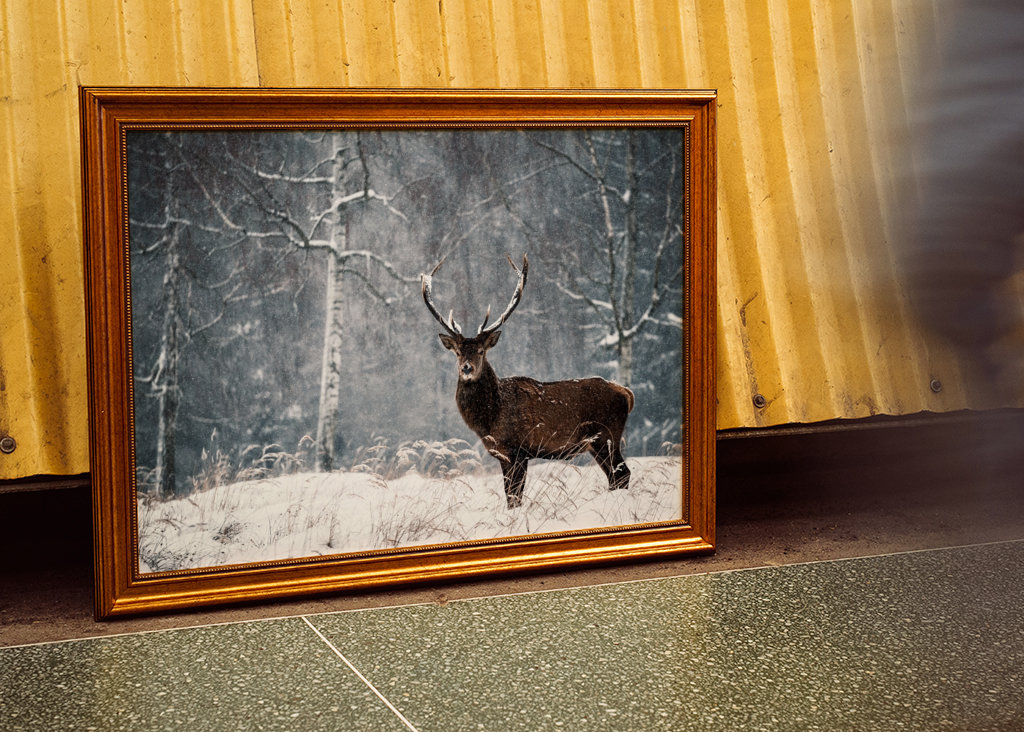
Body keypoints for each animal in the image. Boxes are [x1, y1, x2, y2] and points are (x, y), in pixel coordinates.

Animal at [422, 254, 635, 509]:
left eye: (481, 351)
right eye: (457, 352)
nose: (467, 368)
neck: (491, 418)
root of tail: (626, 393)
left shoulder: (518, 450)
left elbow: (515, 496)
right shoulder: (502, 454)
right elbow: (509, 495)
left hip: (607, 435)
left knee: (622, 474)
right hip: (599, 442)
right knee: (616, 476)